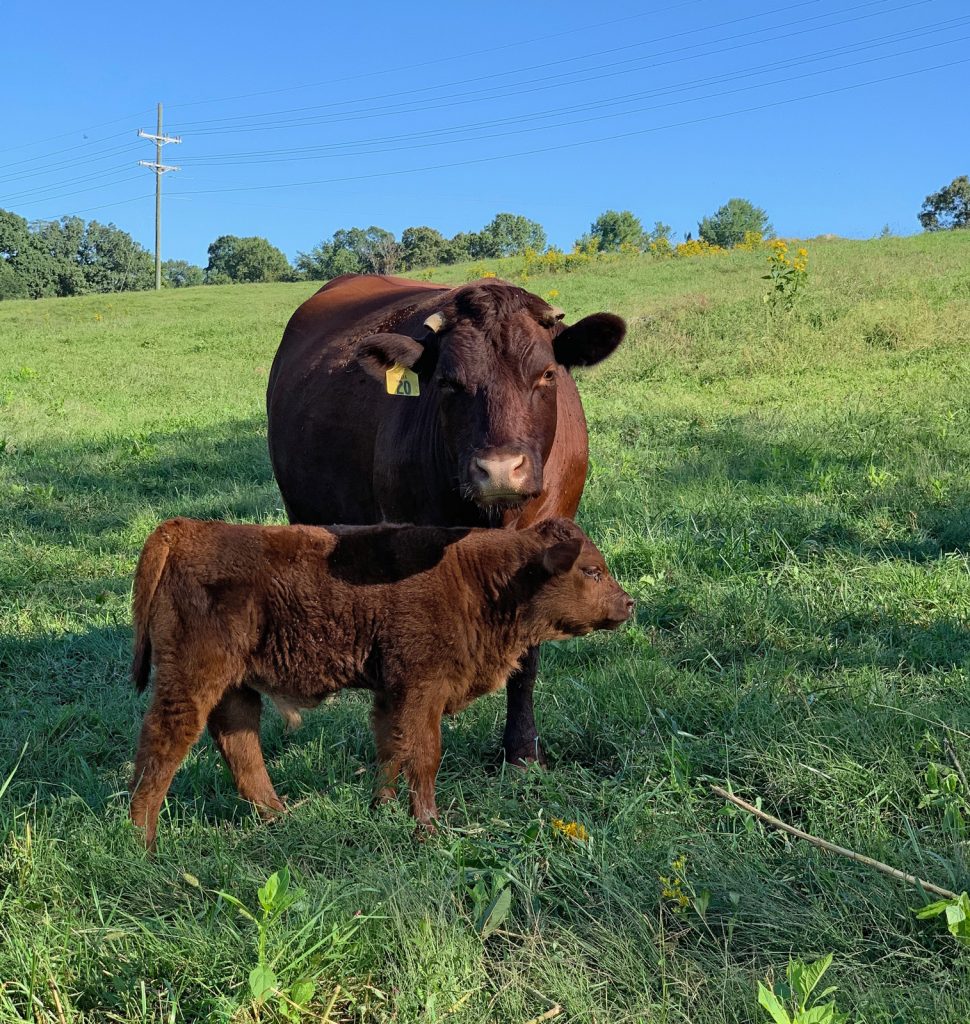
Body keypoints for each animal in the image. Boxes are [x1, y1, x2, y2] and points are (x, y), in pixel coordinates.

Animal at [129, 516, 635, 843]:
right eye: (591, 570)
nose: (628, 603)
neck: (479, 579)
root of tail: (185, 529)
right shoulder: (421, 688)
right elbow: (424, 755)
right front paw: (428, 828)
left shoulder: (392, 694)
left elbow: (391, 749)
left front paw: (382, 809)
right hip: (191, 678)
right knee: (163, 741)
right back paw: (142, 841)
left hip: (234, 687)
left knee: (238, 744)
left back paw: (279, 817)